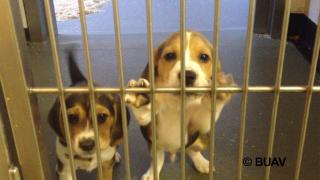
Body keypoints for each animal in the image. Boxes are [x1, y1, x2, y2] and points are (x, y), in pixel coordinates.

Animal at [125, 31, 235, 179]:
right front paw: (140, 97)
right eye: (170, 55)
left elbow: (206, 113)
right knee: (159, 158)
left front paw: (217, 91)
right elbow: (143, 115)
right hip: (153, 144)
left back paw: (201, 162)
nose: (188, 75)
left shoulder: (200, 125)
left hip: (201, 140)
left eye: (204, 57)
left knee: (191, 150)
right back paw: (152, 173)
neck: (177, 101)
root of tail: (174, 151)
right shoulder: (148, 122)